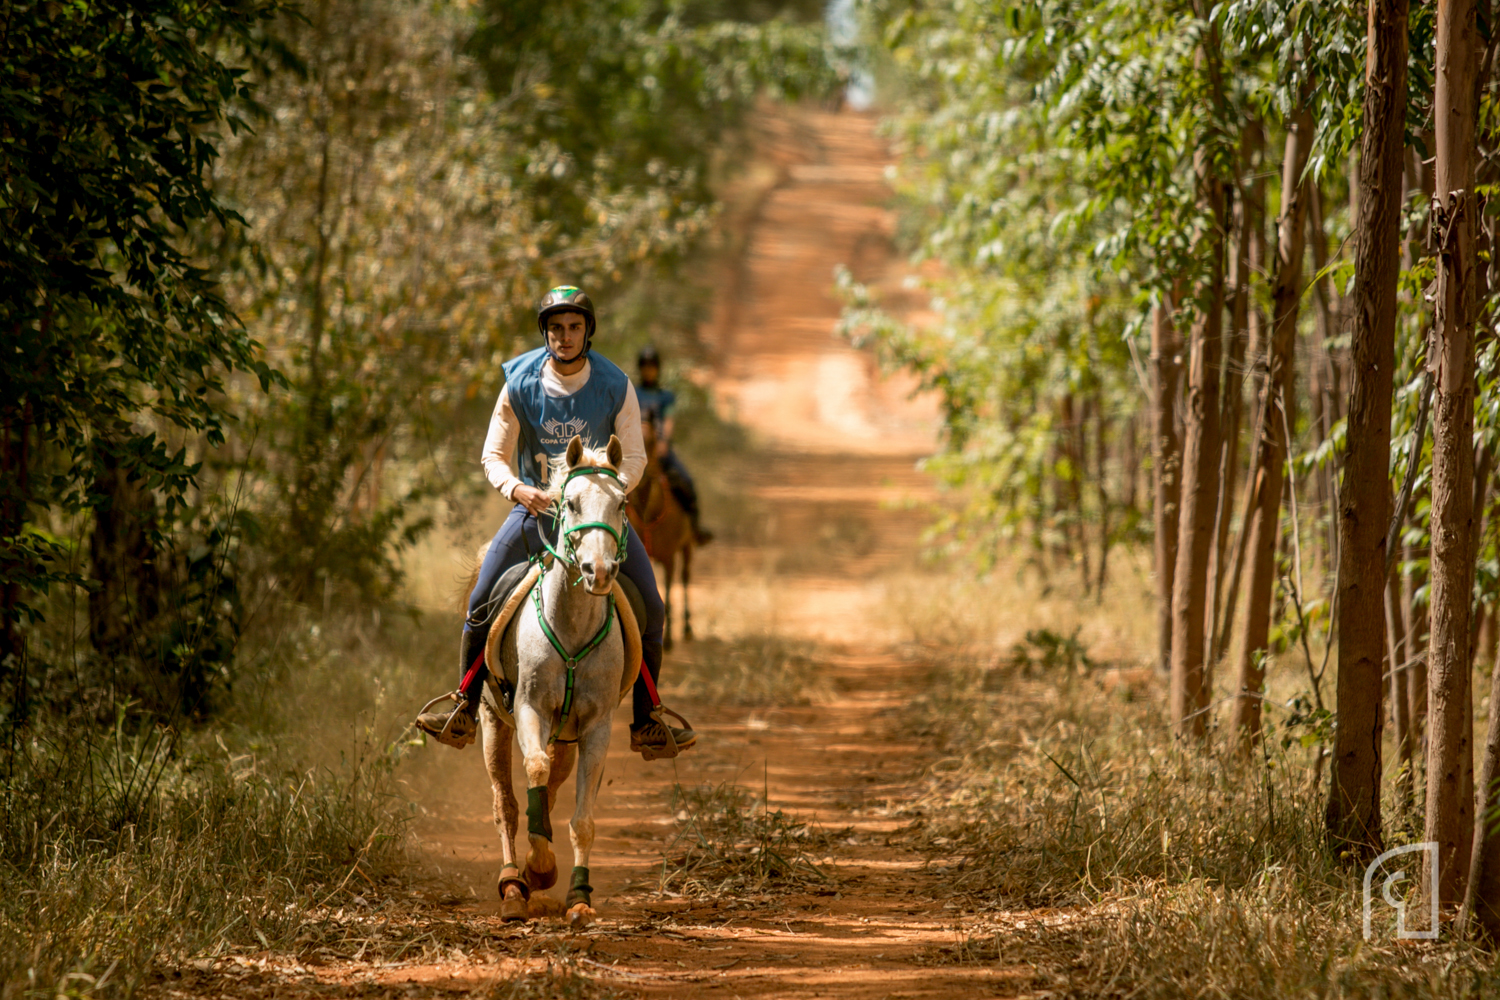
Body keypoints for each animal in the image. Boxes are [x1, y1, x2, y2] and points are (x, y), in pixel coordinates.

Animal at [477, 434, 636, 923]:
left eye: (621, 503)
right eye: (571, 502)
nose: (598, 572)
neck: (573, 625)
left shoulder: (597, 725)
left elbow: (582, 819)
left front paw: (578, 898)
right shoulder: (529, 708)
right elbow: (533, 770)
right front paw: (541, 865)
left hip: (566, 736)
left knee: (549, 786)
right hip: (492, 720)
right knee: (505, 804)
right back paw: (514, 886)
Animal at [627, 419, 696, 650]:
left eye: (653, 441)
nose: (643, 473)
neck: (649, 512)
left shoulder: (668, 558)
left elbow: (667, 591)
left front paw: (667, 640)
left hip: (687, 547)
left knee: (685, 577)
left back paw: (687, 627)